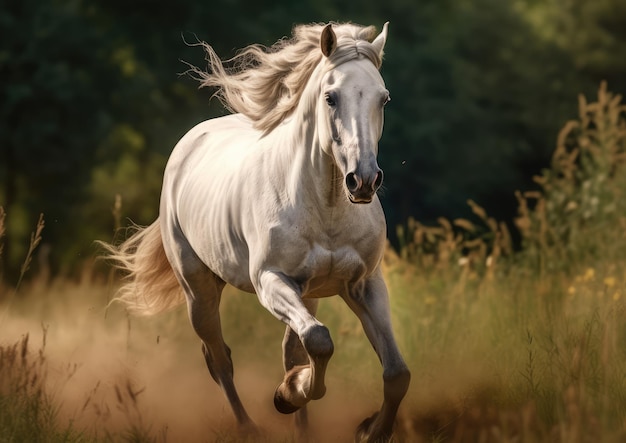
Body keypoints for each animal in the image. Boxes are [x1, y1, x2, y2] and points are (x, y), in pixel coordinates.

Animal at [103, 22, 410, 442]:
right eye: (330, 97)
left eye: (384, 98)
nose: (363, 181)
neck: (327, 207)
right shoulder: (269, 280)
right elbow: (320, 341)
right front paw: (287, 393)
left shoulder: (364, 285)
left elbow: (395, 372)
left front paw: (368, 430)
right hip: (198, 289)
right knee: (219, 358)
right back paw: (250, 426)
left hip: (307, 293)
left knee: (290, 349)